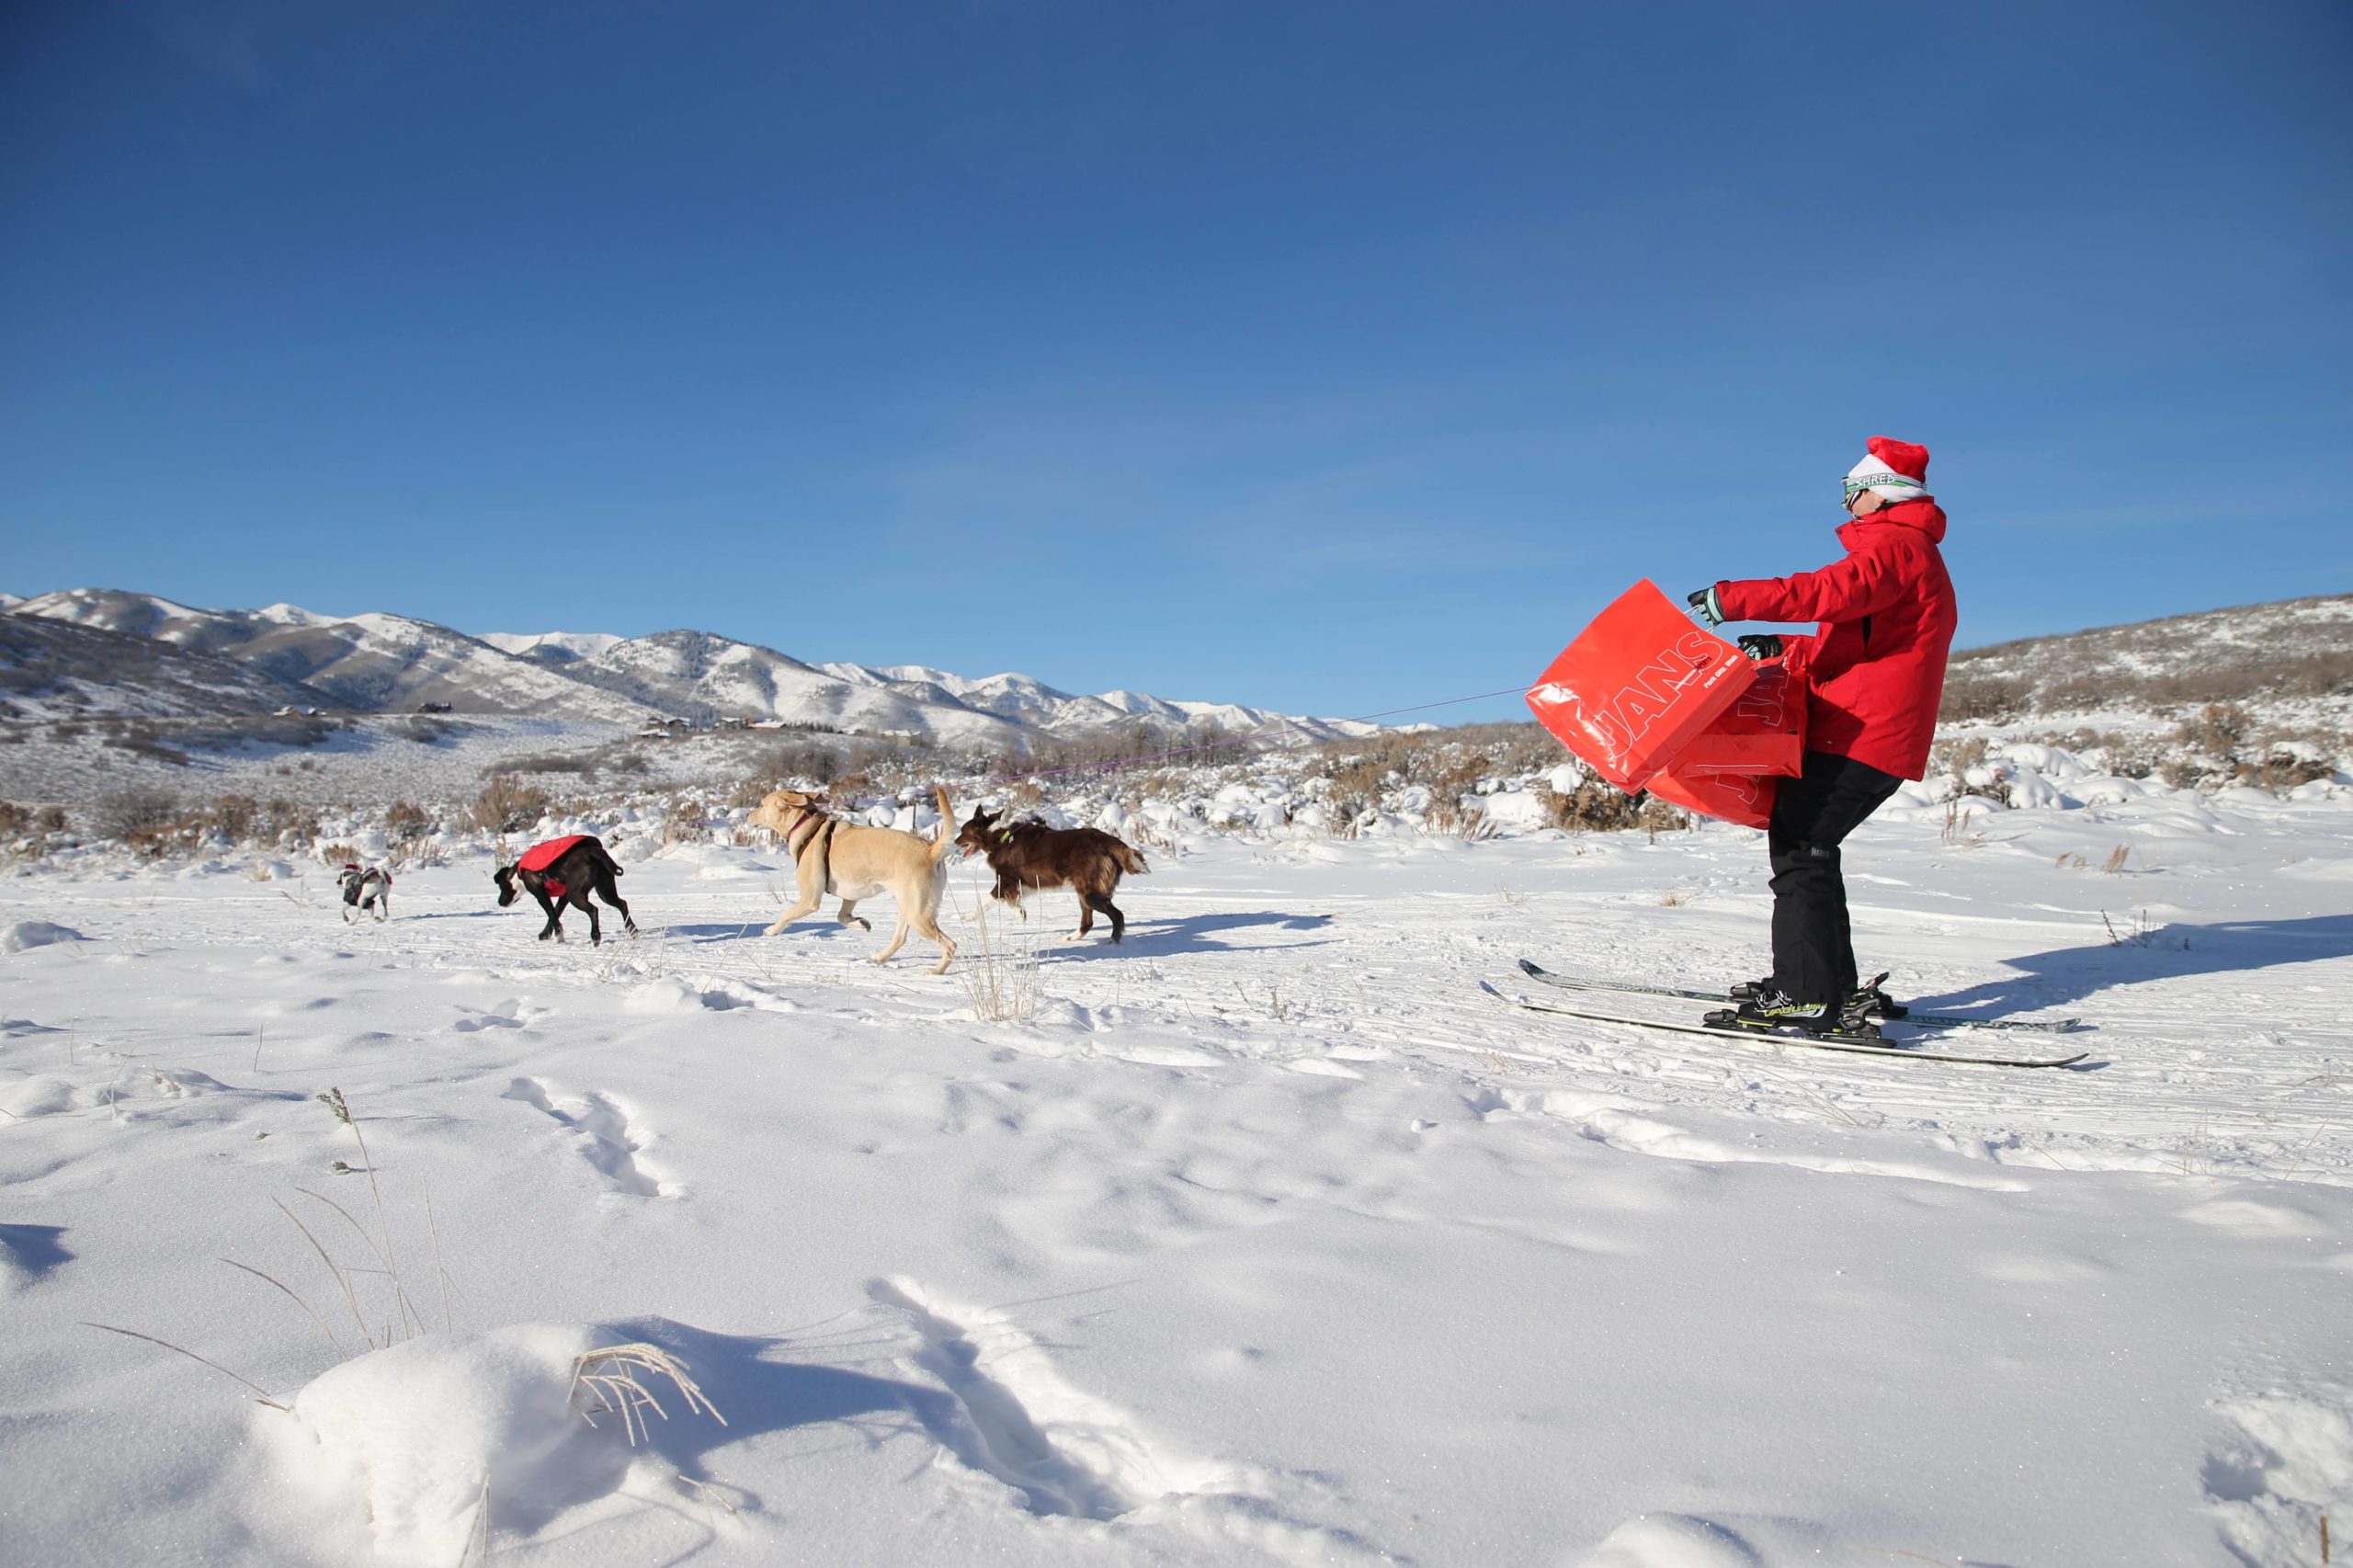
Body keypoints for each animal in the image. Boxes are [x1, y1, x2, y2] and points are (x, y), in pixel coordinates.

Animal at [492, 828, 635, 941]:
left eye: (501, 887)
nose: (499, 902)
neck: (518, 874)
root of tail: (592, 852)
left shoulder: (541, 894)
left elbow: (552, 915)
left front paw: (558, 937)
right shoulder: (563, 897)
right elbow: (555, 913)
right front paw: (545, 934)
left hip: (575, 895)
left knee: (593, 910)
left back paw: (595, 936)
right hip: (605, 891)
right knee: (622, 904)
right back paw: (632, 930)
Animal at [738, 781, 950, 965]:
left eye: (761, 805)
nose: (746, 814)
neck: (808, 829)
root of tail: (930, 850)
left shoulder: (809, 899)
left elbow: (786, 914)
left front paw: (772, 930)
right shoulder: (851, 894)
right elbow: (842, 917)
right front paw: (861, 923)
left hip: (917, 914)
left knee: (950, 946)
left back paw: (935, 971)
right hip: (908, 909)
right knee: (900, 939)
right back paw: (880, 958)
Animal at [950, 805, 1143, 941]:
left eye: (962, 831)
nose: (953, 842)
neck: (999, 837)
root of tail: (1106, 840)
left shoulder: (1007, 880)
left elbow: (986, 900)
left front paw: (968, 916)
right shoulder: (1022, 883)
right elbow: (1009, 900)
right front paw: (1020, 913)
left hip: (1090, 892)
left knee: (1116, 915)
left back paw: (1113, 942)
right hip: (1084, 891)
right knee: (1088, 922)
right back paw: (1069, 938)